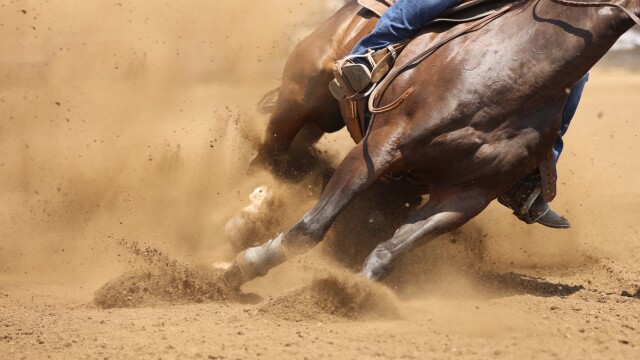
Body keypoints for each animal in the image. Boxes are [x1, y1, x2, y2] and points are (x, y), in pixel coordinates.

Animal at [221, 0, 640, 286]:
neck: (515, 69)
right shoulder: (380, 148)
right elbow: (312, 227)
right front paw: (245, 266)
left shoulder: (468, 194)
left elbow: (391, 250)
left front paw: (355, 292)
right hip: (299, 104)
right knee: (269, 159)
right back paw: (245, 215)